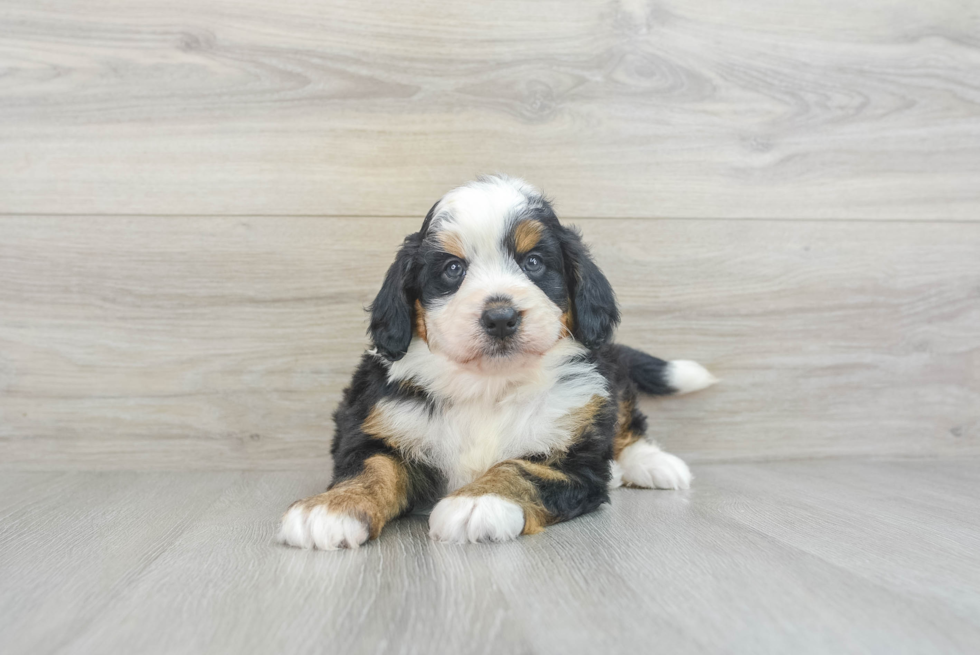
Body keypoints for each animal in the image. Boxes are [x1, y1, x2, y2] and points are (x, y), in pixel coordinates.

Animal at [280, 177, 716, 552]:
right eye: (453, 269)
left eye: (534, 262)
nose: (501, 317)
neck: (488, 385)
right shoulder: (377, 426)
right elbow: (372, 468)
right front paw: (330, 507)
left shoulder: (578, 463)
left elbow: (521, 469)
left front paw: (479, 501)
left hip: (608, 375)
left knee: (626, 420)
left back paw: (652, 464)